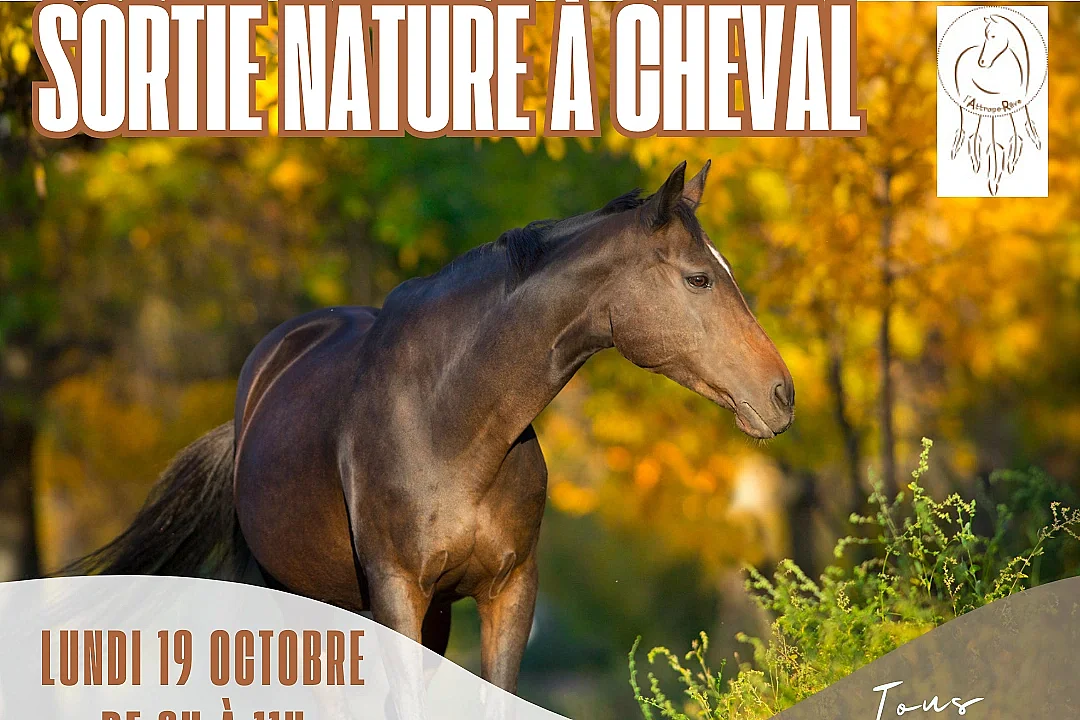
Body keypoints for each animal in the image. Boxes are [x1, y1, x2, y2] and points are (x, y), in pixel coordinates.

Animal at [62, 161, 794, 701]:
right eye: (698, 279)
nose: (781, 395)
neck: (451, 422)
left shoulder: (505, 593)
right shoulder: (396, 592)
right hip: (292, 594)